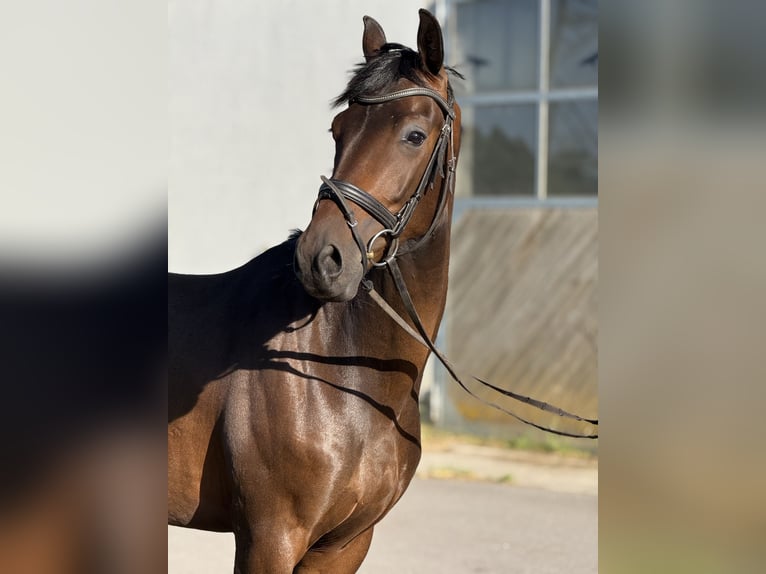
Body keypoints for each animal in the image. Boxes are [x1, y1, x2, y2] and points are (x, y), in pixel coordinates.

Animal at [168, 10, 462, 573]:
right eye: (337, 130)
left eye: (415, 135)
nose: (321, 259)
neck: (340, 367)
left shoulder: (345, 544)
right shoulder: (270, 538)